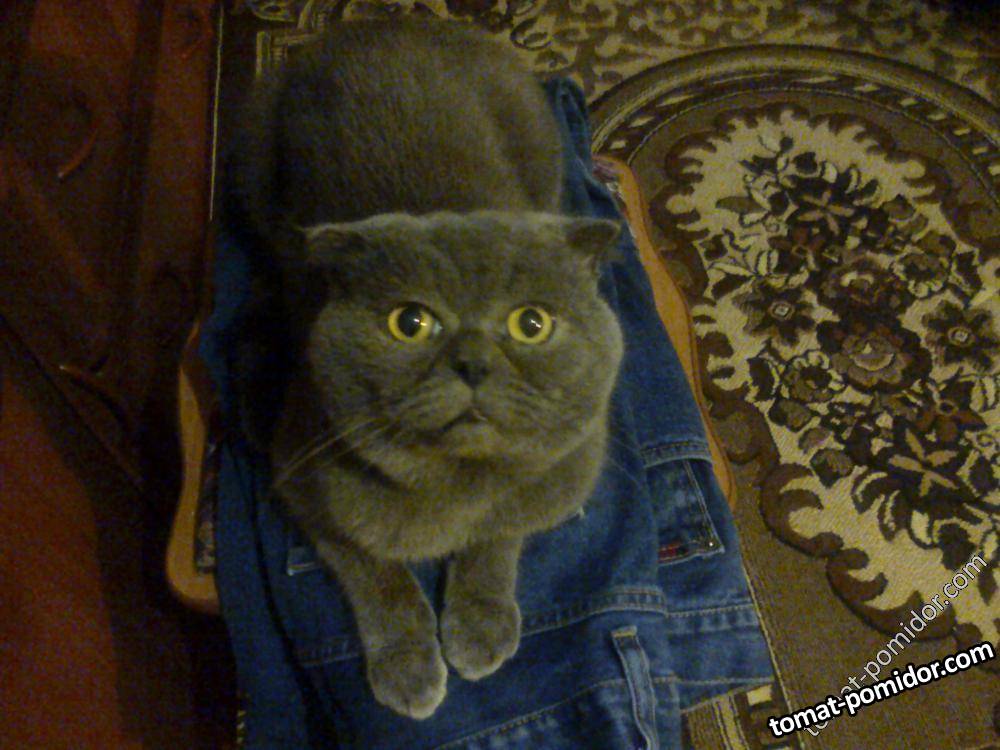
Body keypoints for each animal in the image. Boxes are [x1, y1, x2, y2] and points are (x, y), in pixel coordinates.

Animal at [227, 17, 624, 720]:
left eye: (531, 323)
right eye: (409, 323)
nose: (472, 362)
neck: (455, 489)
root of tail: (386, 22)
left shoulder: (547, 485)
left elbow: (498, 538)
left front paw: (479, 625)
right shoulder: (305, 483)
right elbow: (375, 573)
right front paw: (408, 667)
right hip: (254, 160)